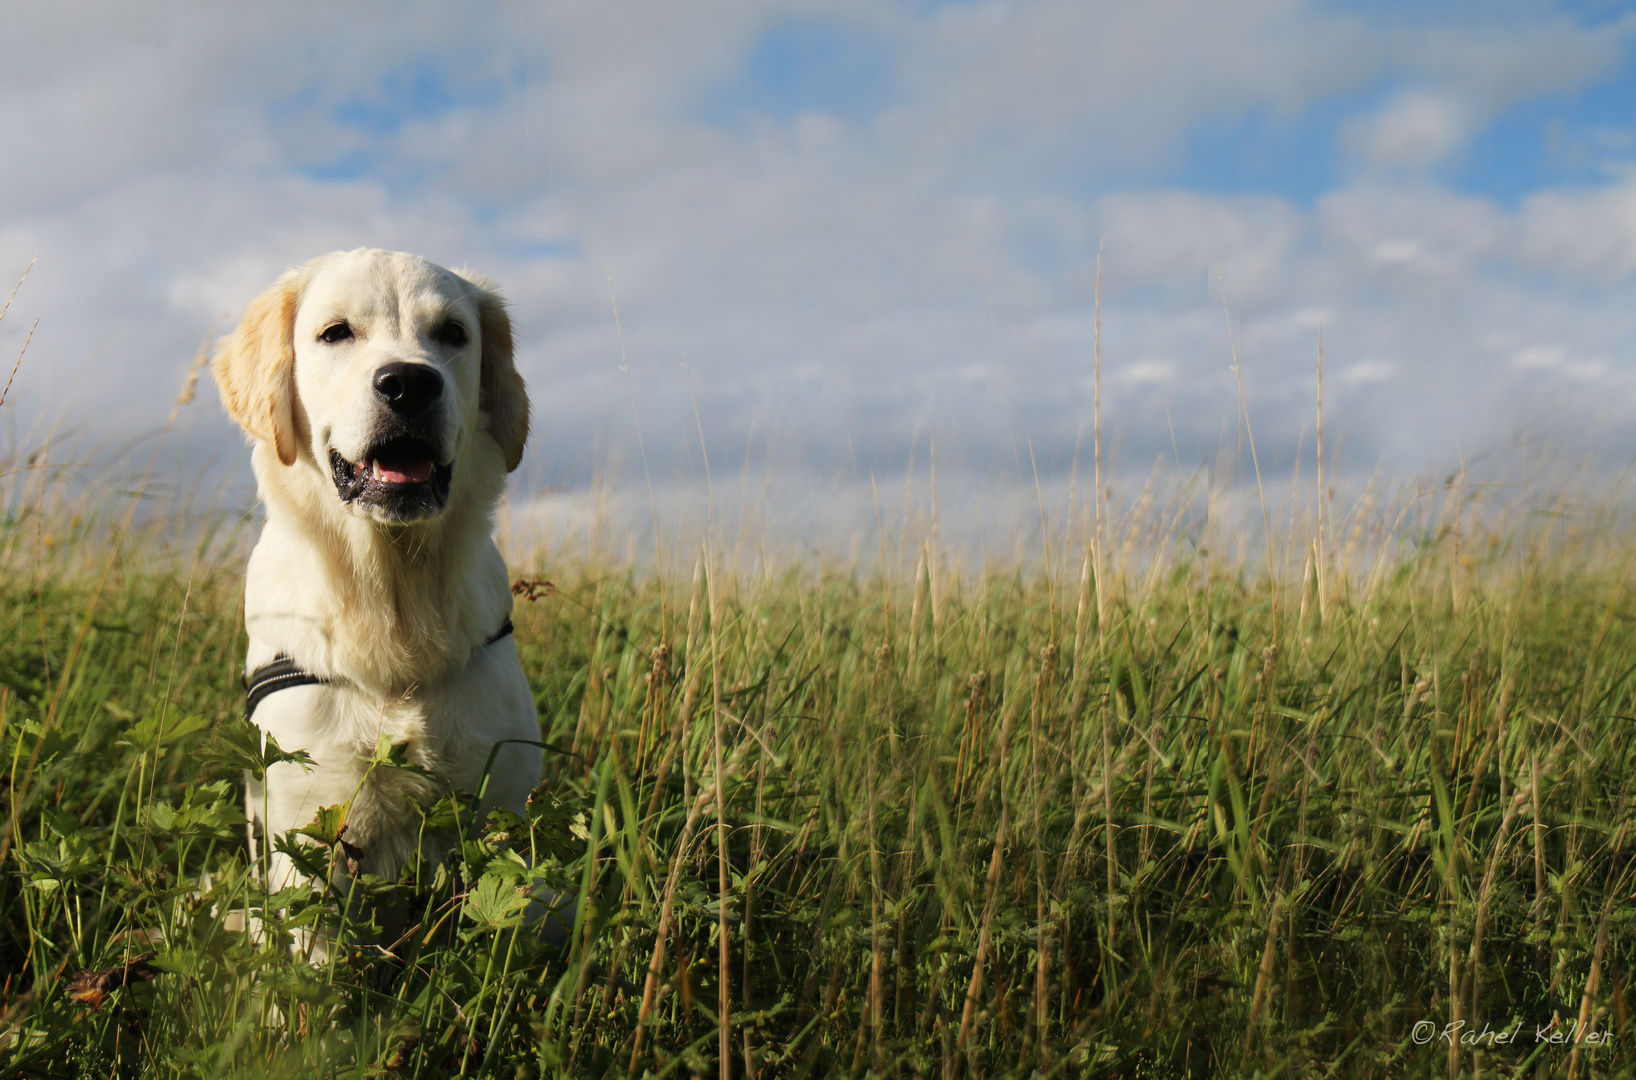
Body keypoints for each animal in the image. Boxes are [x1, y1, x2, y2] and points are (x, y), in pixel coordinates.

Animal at [209, 248, 543, 916]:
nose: (410, 383)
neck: (393, 597)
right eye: (336, 332)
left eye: (453, 334)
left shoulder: (504, 797)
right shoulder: (306, 827)